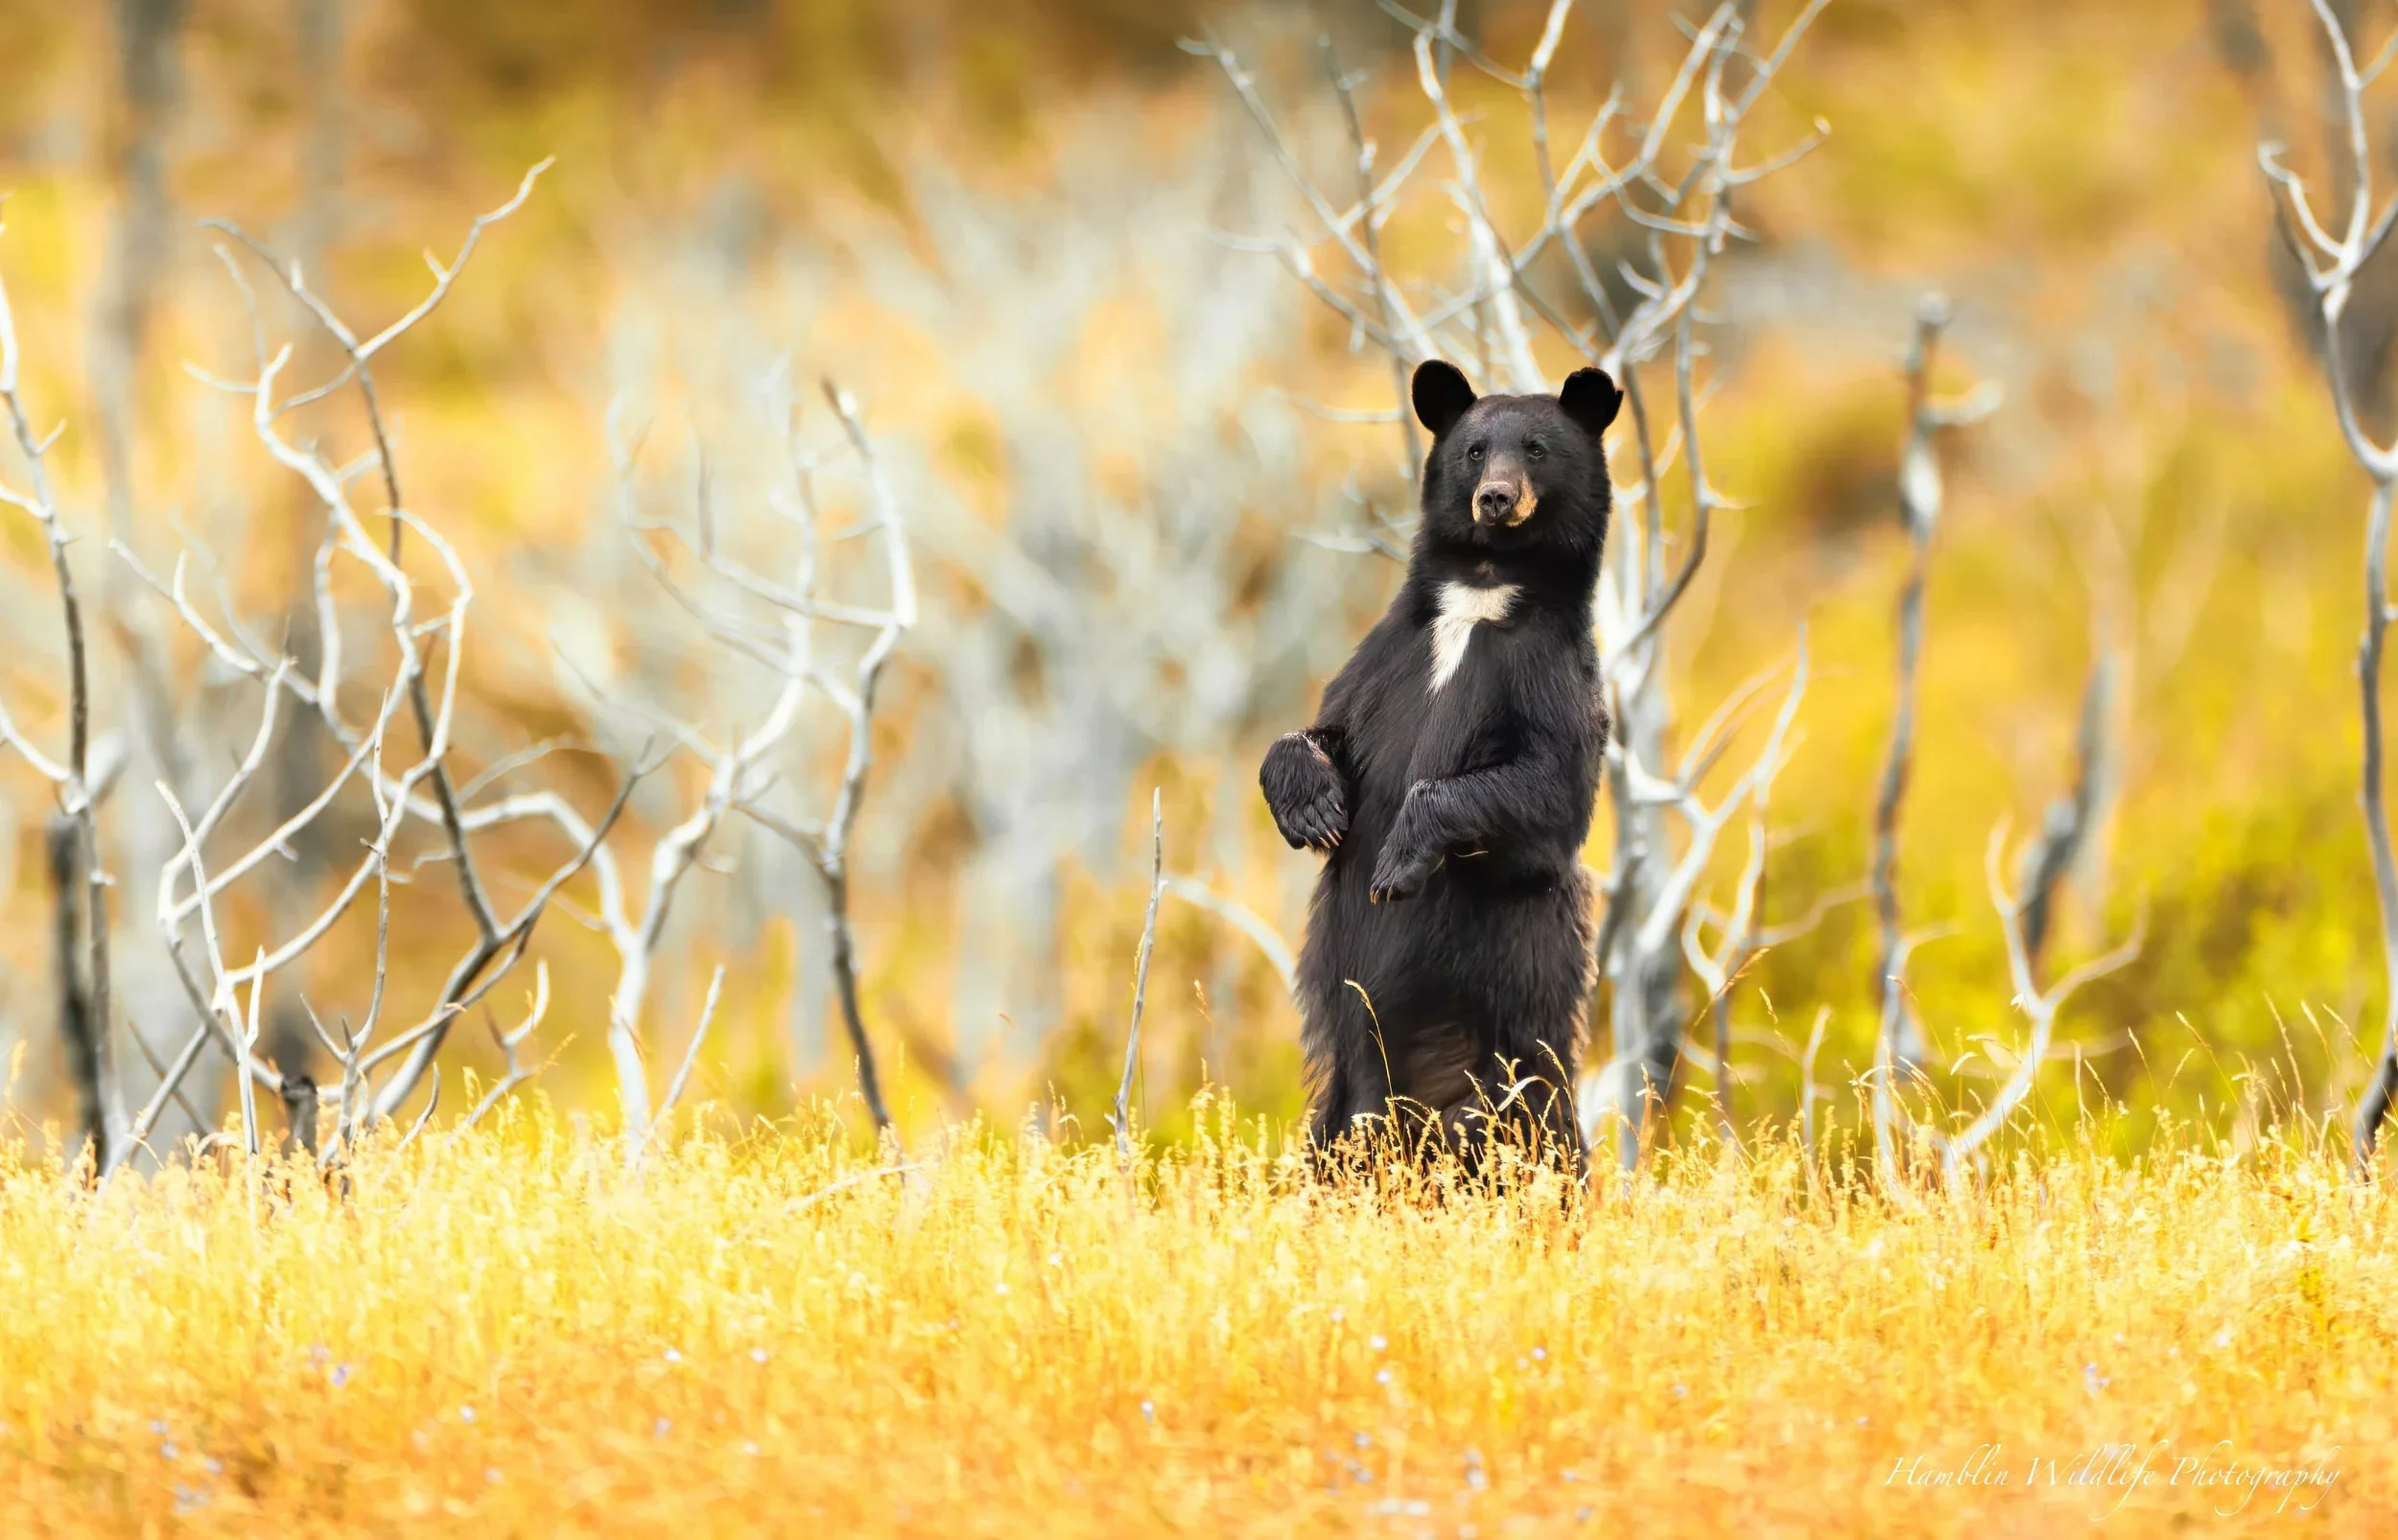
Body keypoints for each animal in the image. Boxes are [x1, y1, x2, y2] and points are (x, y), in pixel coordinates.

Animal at [1260, 357, 1620, 1174]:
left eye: (1537, 449)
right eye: (1475, 450)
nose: (1497, 498)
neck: (1480, 597)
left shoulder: (1553, 681)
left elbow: (1547, 792)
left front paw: (1396, 863)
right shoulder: (1387, 656)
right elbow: (1323, 730)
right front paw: (1314, 808)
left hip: (1512, 1062)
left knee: (1539, 1136)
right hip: (1346, 1099)